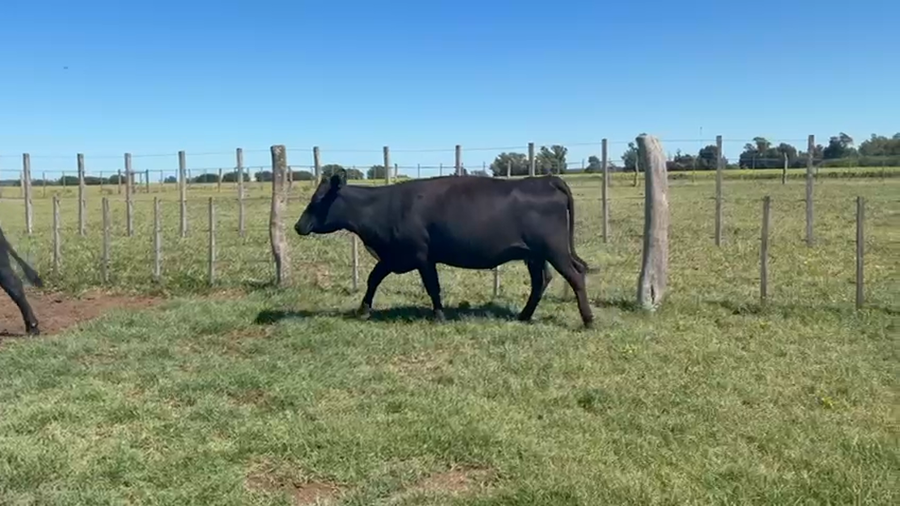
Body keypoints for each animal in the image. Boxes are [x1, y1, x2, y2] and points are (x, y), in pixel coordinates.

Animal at [294, 170, 595, 328]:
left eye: (317, 200)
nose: (298, 225)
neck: (383, 207)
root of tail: (545, 178)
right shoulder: (394, 256)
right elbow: (373, 279)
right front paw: (363, 309)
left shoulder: (420, 255)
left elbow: (432, 286)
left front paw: (438, 315)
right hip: (534, 254)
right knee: (541, 281)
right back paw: (524, 316)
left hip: (555, 249)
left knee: (575, 275)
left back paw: (588, 320)